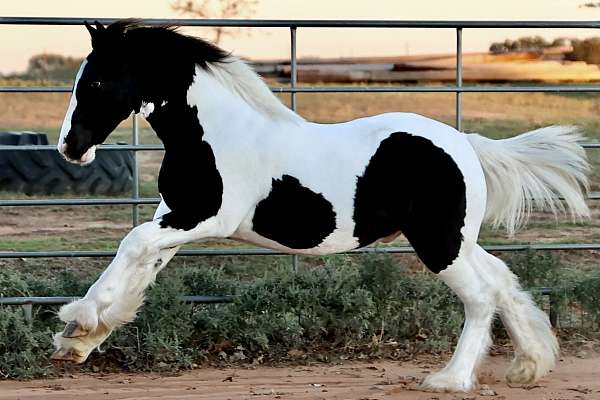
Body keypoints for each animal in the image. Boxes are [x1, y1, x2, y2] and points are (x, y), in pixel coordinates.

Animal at [52, 20, 592, 392]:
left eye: (95, 82)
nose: (69, 148)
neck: (213, 134)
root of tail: (467, 145)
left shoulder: (204, 218)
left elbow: (132, 243)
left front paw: (79, 323)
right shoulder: (174, 218)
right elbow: (141, 265)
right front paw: (80, 339)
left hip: (438, 243)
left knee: (480, 296)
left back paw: (450, 380)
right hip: (458, 240)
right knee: (501, 280)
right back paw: (530, 364)